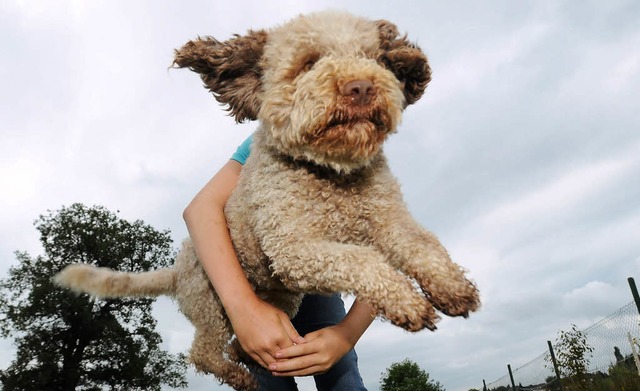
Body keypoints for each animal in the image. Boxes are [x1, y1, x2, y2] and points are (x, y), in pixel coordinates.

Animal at [55, 10, 480, 390]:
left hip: (282, 299)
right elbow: (361, 260)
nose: (361, 86)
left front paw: (453, 288)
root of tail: (175, 270)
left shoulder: (389, 220)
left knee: (236, 344)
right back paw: (240, 376)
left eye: (376, 59)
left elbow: (423, 246)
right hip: (212, 302)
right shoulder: (294, 247)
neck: (330, 174)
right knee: (203, 352)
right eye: (308, 62)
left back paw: (243, 357)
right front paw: (408, 302)